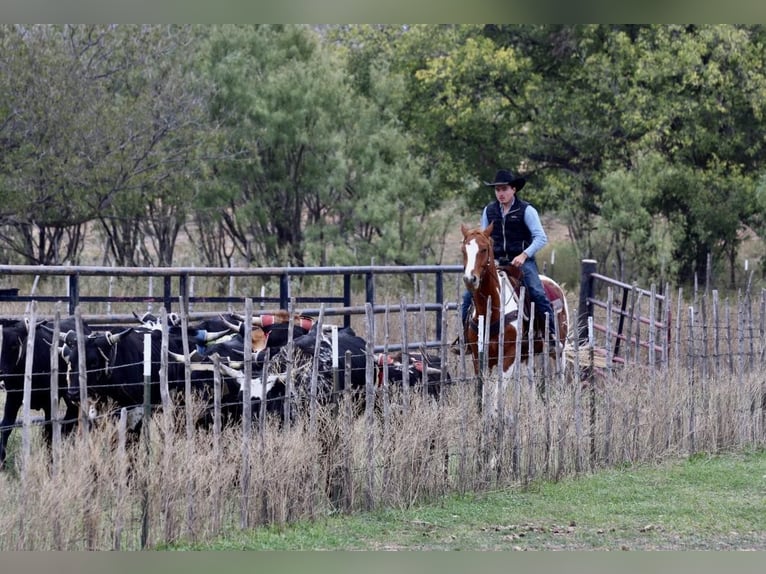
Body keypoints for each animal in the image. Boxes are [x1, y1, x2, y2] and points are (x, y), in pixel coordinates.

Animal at [0, 318, 91, 470]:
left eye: (13, 345)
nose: (1, 372)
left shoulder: (50, 401)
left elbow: (48, 431)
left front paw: (50, 462)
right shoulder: (13, 397)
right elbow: (5, 426)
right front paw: (2, 462)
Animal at [462, 223, 568, 390]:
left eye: (484, 249)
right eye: (464, 250)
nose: (470, 279)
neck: (492, 310)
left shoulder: (509, 356)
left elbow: (498, 390)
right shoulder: (478, 356)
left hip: (559, 348)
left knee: (560, 374)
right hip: (528, 353)